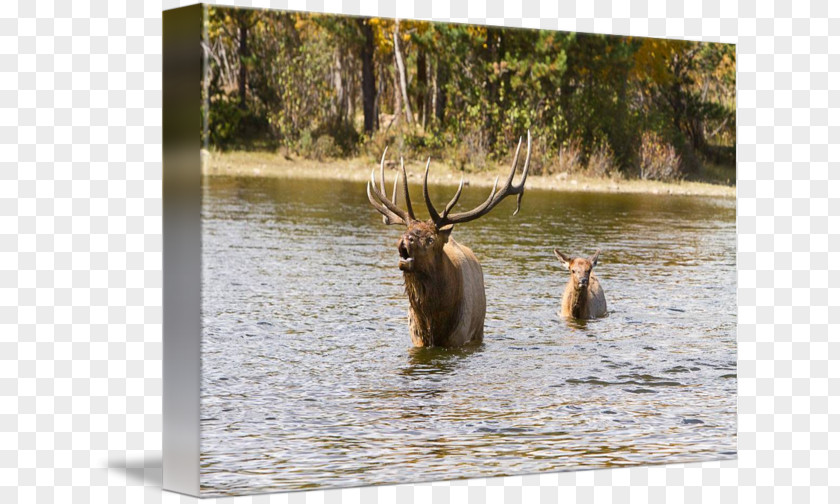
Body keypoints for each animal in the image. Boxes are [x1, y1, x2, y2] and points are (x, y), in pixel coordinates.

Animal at [368, 132, 532, 348]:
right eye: (407, 230)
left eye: (430, 239)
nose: (404, 240)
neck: (432, 320)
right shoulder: (416, 339)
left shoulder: (458, 337)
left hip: (479, 328)